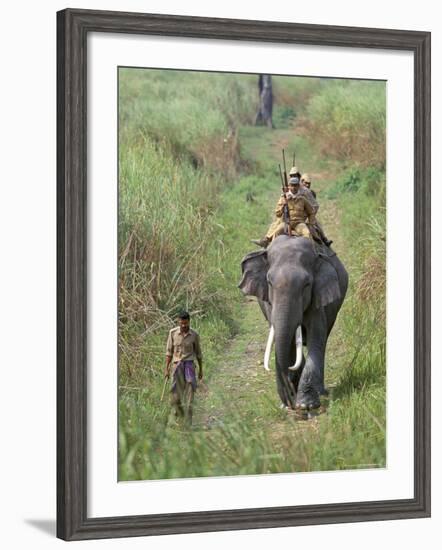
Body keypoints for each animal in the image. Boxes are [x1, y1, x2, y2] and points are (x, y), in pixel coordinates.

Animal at [238, 235, 348, 412]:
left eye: (307, 284)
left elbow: (316, 339)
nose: (289, 401)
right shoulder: (269, 304)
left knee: (322, 342)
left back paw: (320, 391)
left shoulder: (317, 299)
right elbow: (287, 343)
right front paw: (290, 401)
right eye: (269, 282)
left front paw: (306, 405)